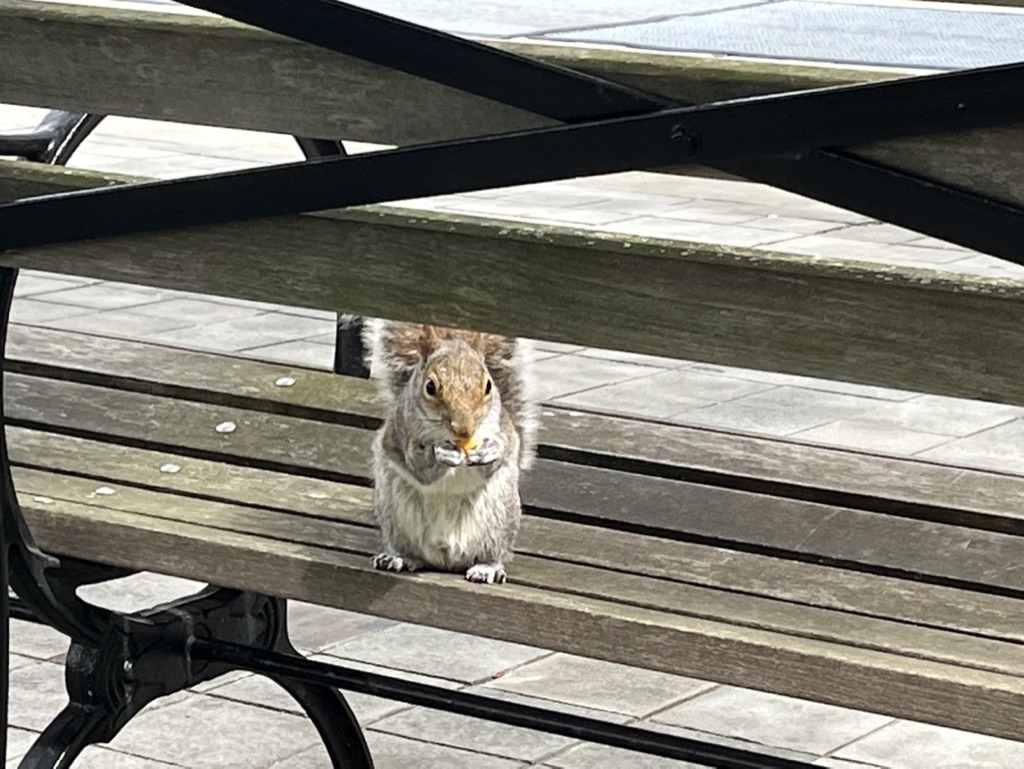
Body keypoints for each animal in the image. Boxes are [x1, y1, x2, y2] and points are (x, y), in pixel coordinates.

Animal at [362, 319, 538, 584]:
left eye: (488, 385)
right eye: (430, 387)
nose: (464, 430)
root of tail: (446, 557)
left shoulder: (503, 427)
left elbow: (506, 447)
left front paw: (490, 451)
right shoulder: (403, 432)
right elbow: (418, 464)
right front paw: (440, 455)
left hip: (500, 519)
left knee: (492, 553)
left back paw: (487, 568)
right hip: (393, 515)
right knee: (412, 553)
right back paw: (399, 558)